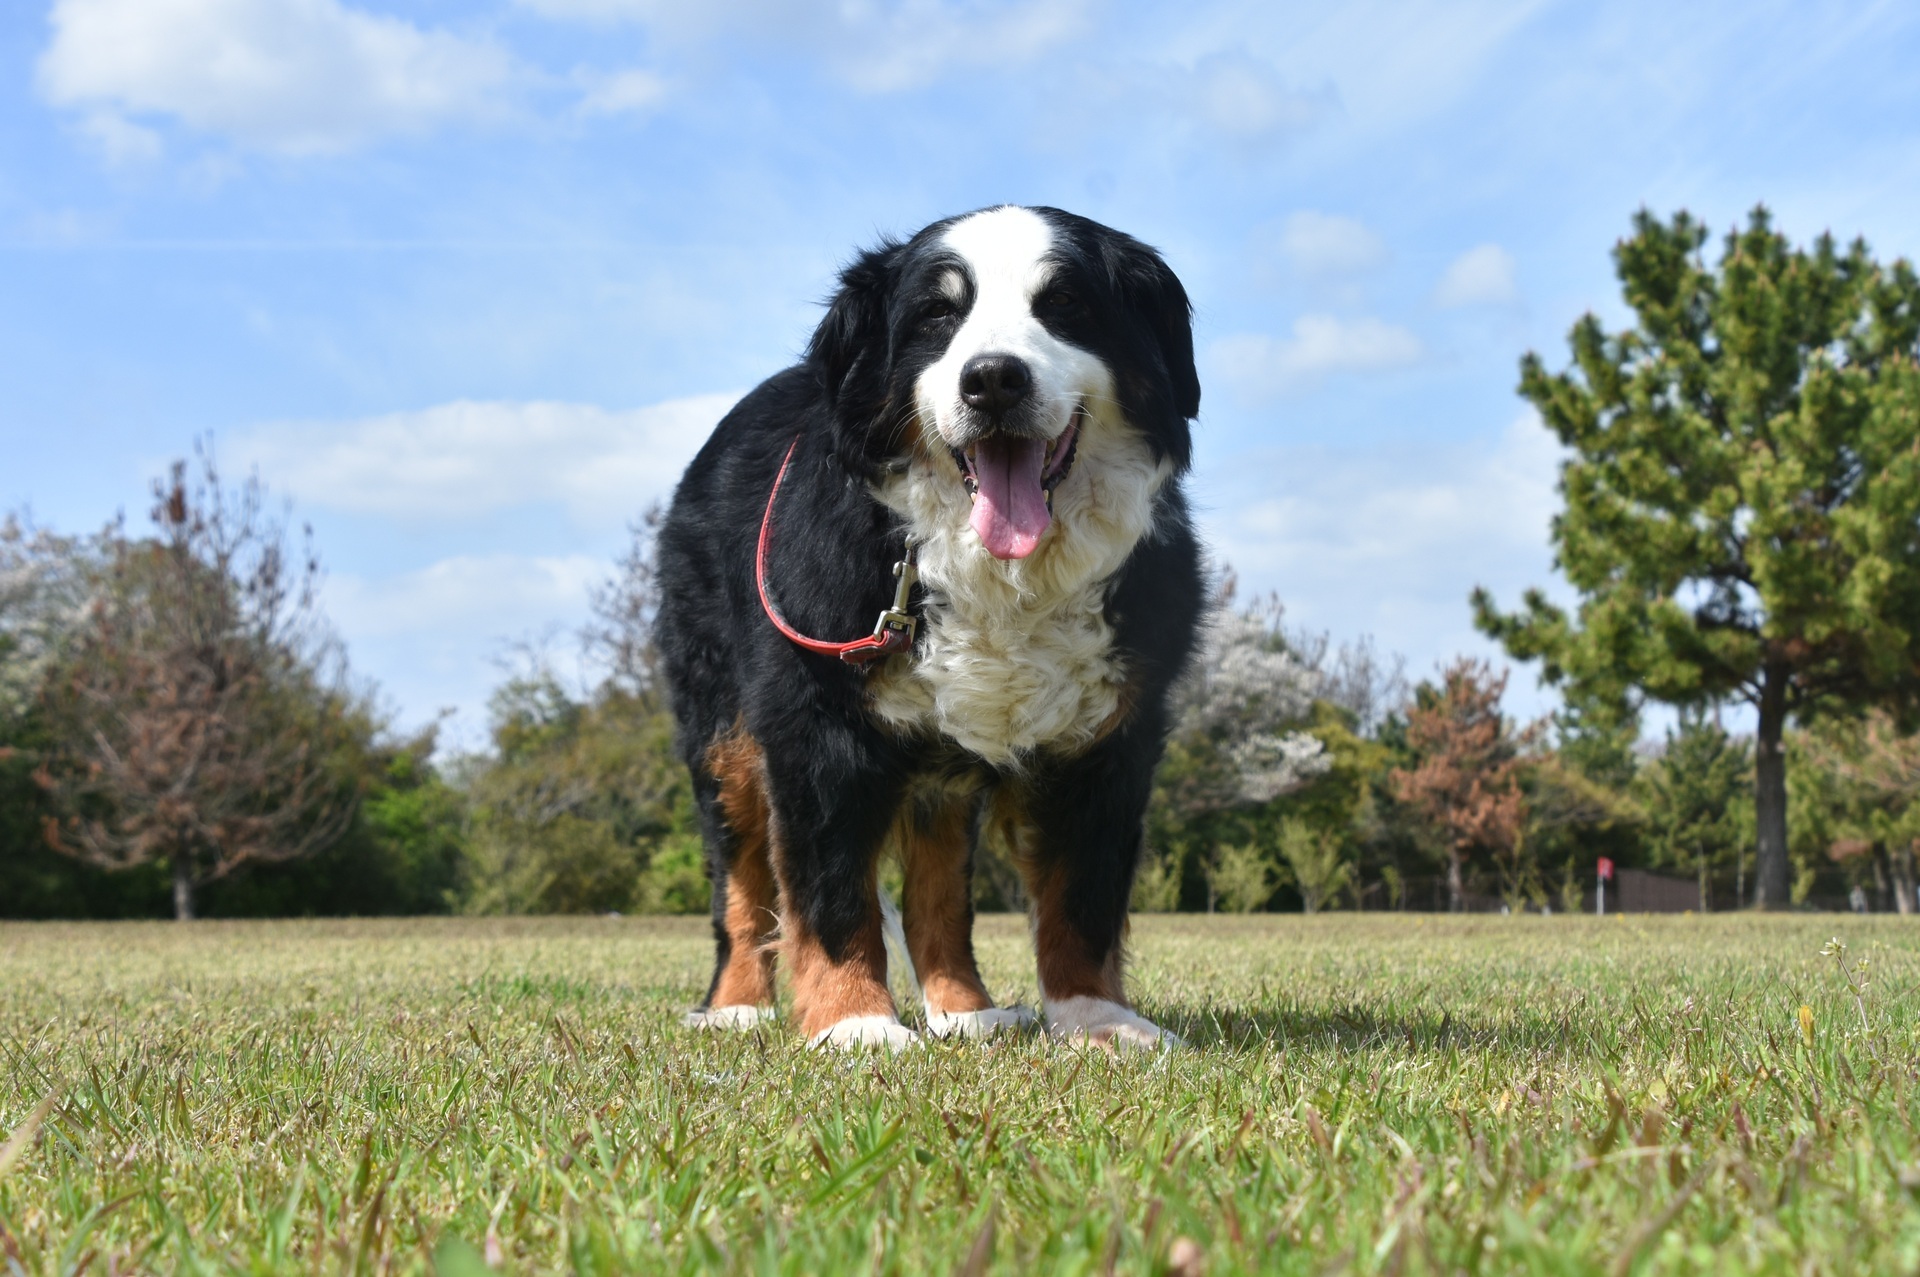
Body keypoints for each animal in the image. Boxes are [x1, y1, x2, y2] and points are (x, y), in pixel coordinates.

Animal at [656, 206, 1198, 1044]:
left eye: (1064, 304)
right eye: (939, 314)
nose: (994, 378)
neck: (997, 574)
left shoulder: (1107, 740)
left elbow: (1083, 899)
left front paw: (1100, 1020)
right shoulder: (815, 729)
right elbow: (831, 895)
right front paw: (856, 1024)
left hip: (943, 773)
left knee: (936, 896)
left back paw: (967, 1012)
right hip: (725, 738)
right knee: (741, 886)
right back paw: (735, 1006)